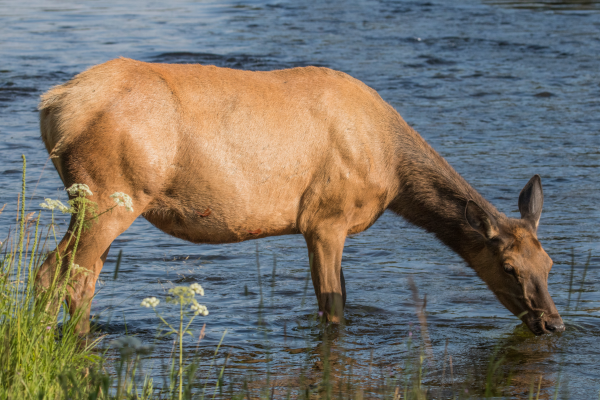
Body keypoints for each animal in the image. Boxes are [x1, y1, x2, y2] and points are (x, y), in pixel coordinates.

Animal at [36, 58, 564, 334]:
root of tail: (53, 103)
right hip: (109, 192)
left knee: (75, 273)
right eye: (509, 267)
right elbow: (333, 305)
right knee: (62, 273)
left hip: (99, 199)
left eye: (550, 264)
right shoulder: (326, 219)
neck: (392, 173)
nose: (555, 324)